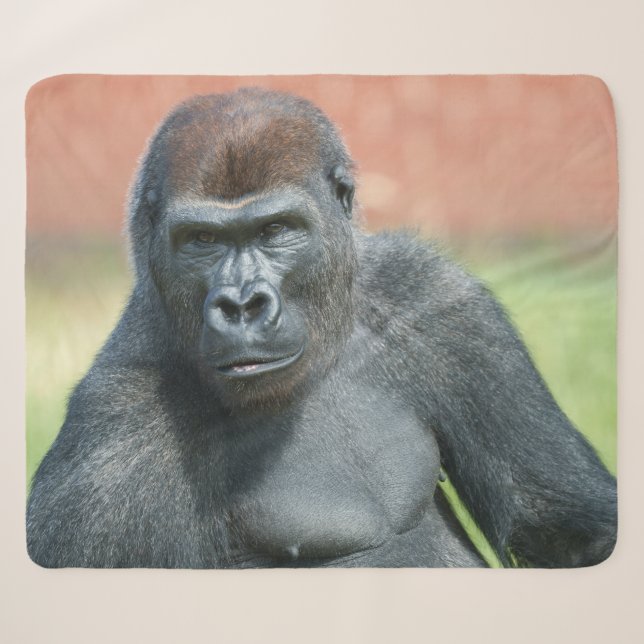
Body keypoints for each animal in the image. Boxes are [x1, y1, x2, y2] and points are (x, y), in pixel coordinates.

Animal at [27, 88, 617, 568]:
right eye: (202, 240)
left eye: (276, 230)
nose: (242, 304)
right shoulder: (107, 455)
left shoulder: (441, 301)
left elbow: (561, 530)